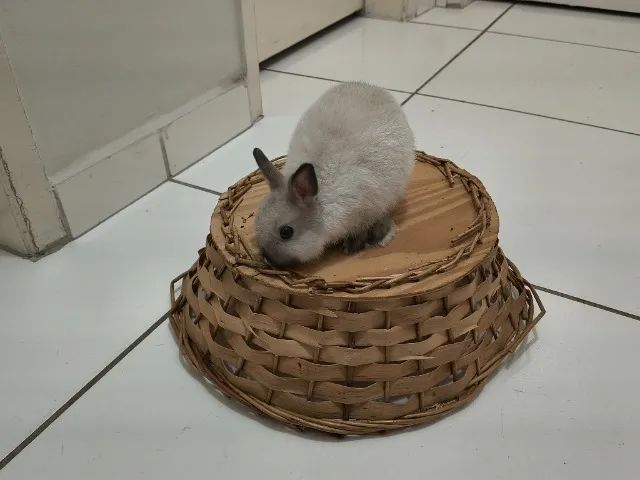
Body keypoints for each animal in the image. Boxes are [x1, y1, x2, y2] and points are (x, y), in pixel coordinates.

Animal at [252, 81, 415, 267]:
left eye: (286, 232)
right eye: (256, 221)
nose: (269, 260)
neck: (321, 205)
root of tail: (374, 87)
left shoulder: (366, 212)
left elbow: (361, 230)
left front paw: (352, 247)